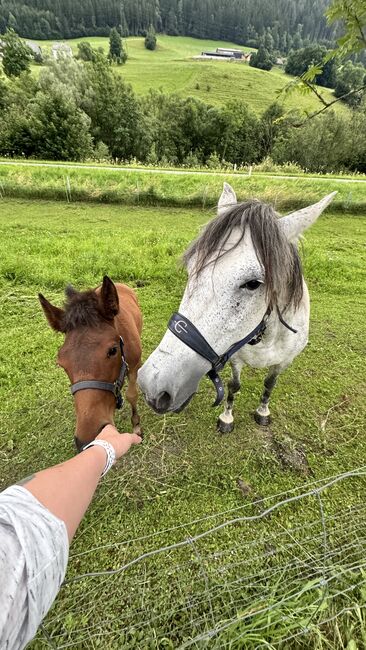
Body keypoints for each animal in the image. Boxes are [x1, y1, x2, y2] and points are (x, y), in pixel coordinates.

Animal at [39, 274, 142, 450]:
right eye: (61, 362)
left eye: (113, 350)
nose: (88, 440)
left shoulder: (133, 367)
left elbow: (132, 395)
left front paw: (136, 426)